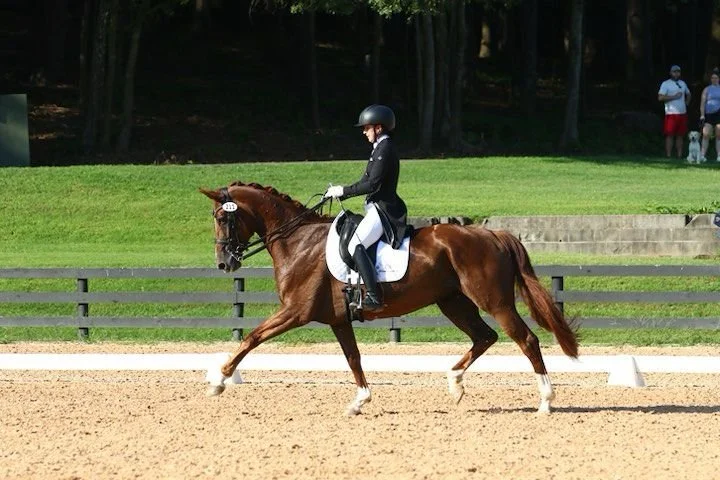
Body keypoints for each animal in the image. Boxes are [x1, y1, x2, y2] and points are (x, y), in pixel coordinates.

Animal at [200, 182, 578, 415]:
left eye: (221, 217)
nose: (224, 263)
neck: (298, 241)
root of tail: (494, 234)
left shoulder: (295, 311)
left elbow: (252, 337)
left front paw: (219, 381)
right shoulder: (338, 319)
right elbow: (353, 358)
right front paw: (360, 401)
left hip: (494, 302)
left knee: (526, 340)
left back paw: (546, 401)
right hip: (453, 302)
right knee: (485, 337)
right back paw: (455, 383)